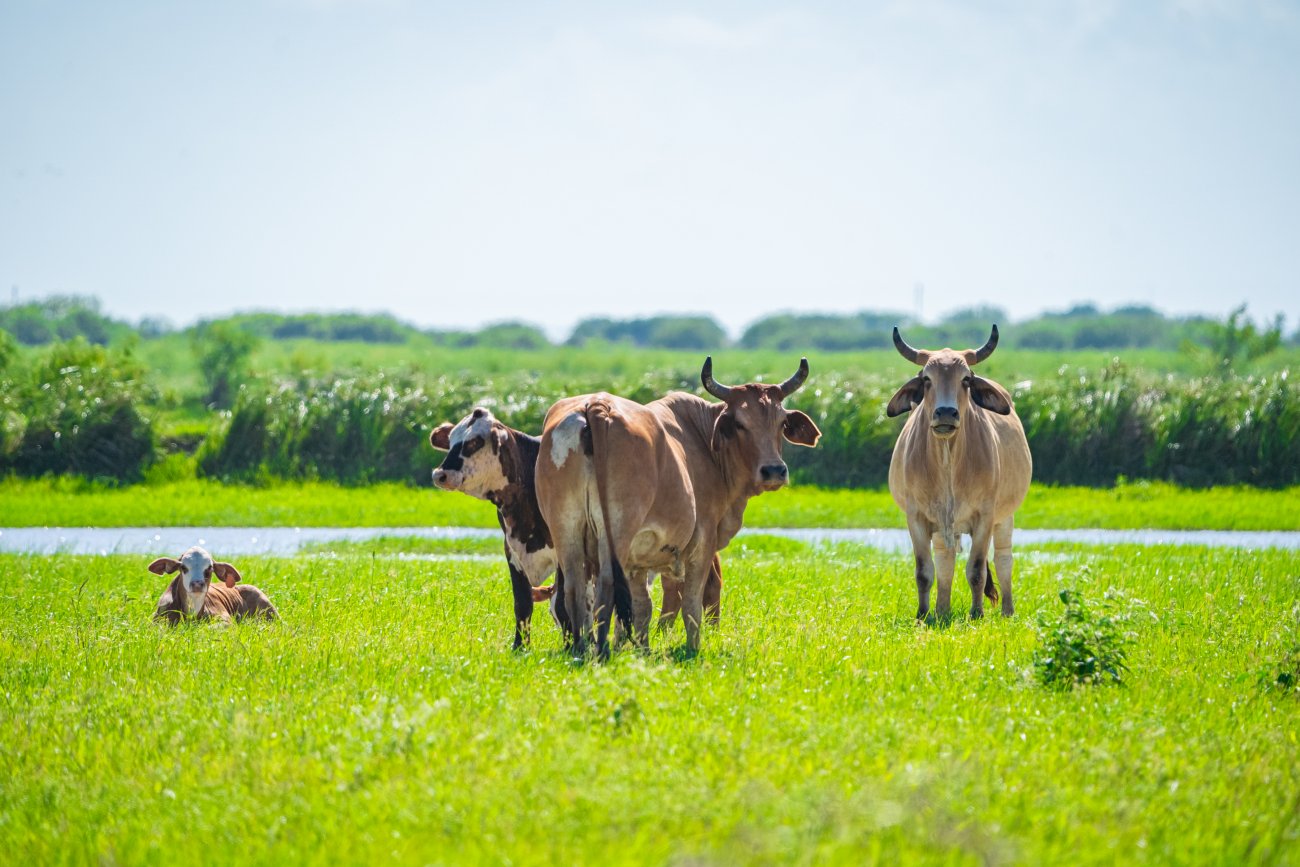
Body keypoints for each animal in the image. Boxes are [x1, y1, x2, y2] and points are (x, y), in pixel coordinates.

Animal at [430, 407, 723, 650]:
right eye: (452, 440)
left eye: (474, 442)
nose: (439, 474)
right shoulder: (512, 551)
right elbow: (523, 604)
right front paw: (520, 648)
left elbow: (565, 602)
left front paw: (572, 645)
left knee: (703, 585)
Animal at [536, 358, 821, 658]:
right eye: (739, 423)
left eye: (781, 422)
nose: (774, 470)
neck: (703, 440)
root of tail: (597, 405)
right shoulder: (702, 544)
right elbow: (691, 605)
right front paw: (693, 648)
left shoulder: (638, 561)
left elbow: (642, 607)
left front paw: (643, 649)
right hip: (616, 532)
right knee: (606, 585)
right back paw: (601, 650)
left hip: (565, 528)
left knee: (574, 589)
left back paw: (580, 649)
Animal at [885, 325, 1032, 621]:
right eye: (926, 378)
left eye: (965, 379)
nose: (945, 412)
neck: (947, 462)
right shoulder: (916, 517)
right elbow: (924, 572)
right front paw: (923, 614)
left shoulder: (985, 516)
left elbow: (977, 570)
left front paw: (977, 613)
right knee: (945, 561)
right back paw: (942, 610)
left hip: (1005, 517)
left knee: (1003, 559)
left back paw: (1007, 611)